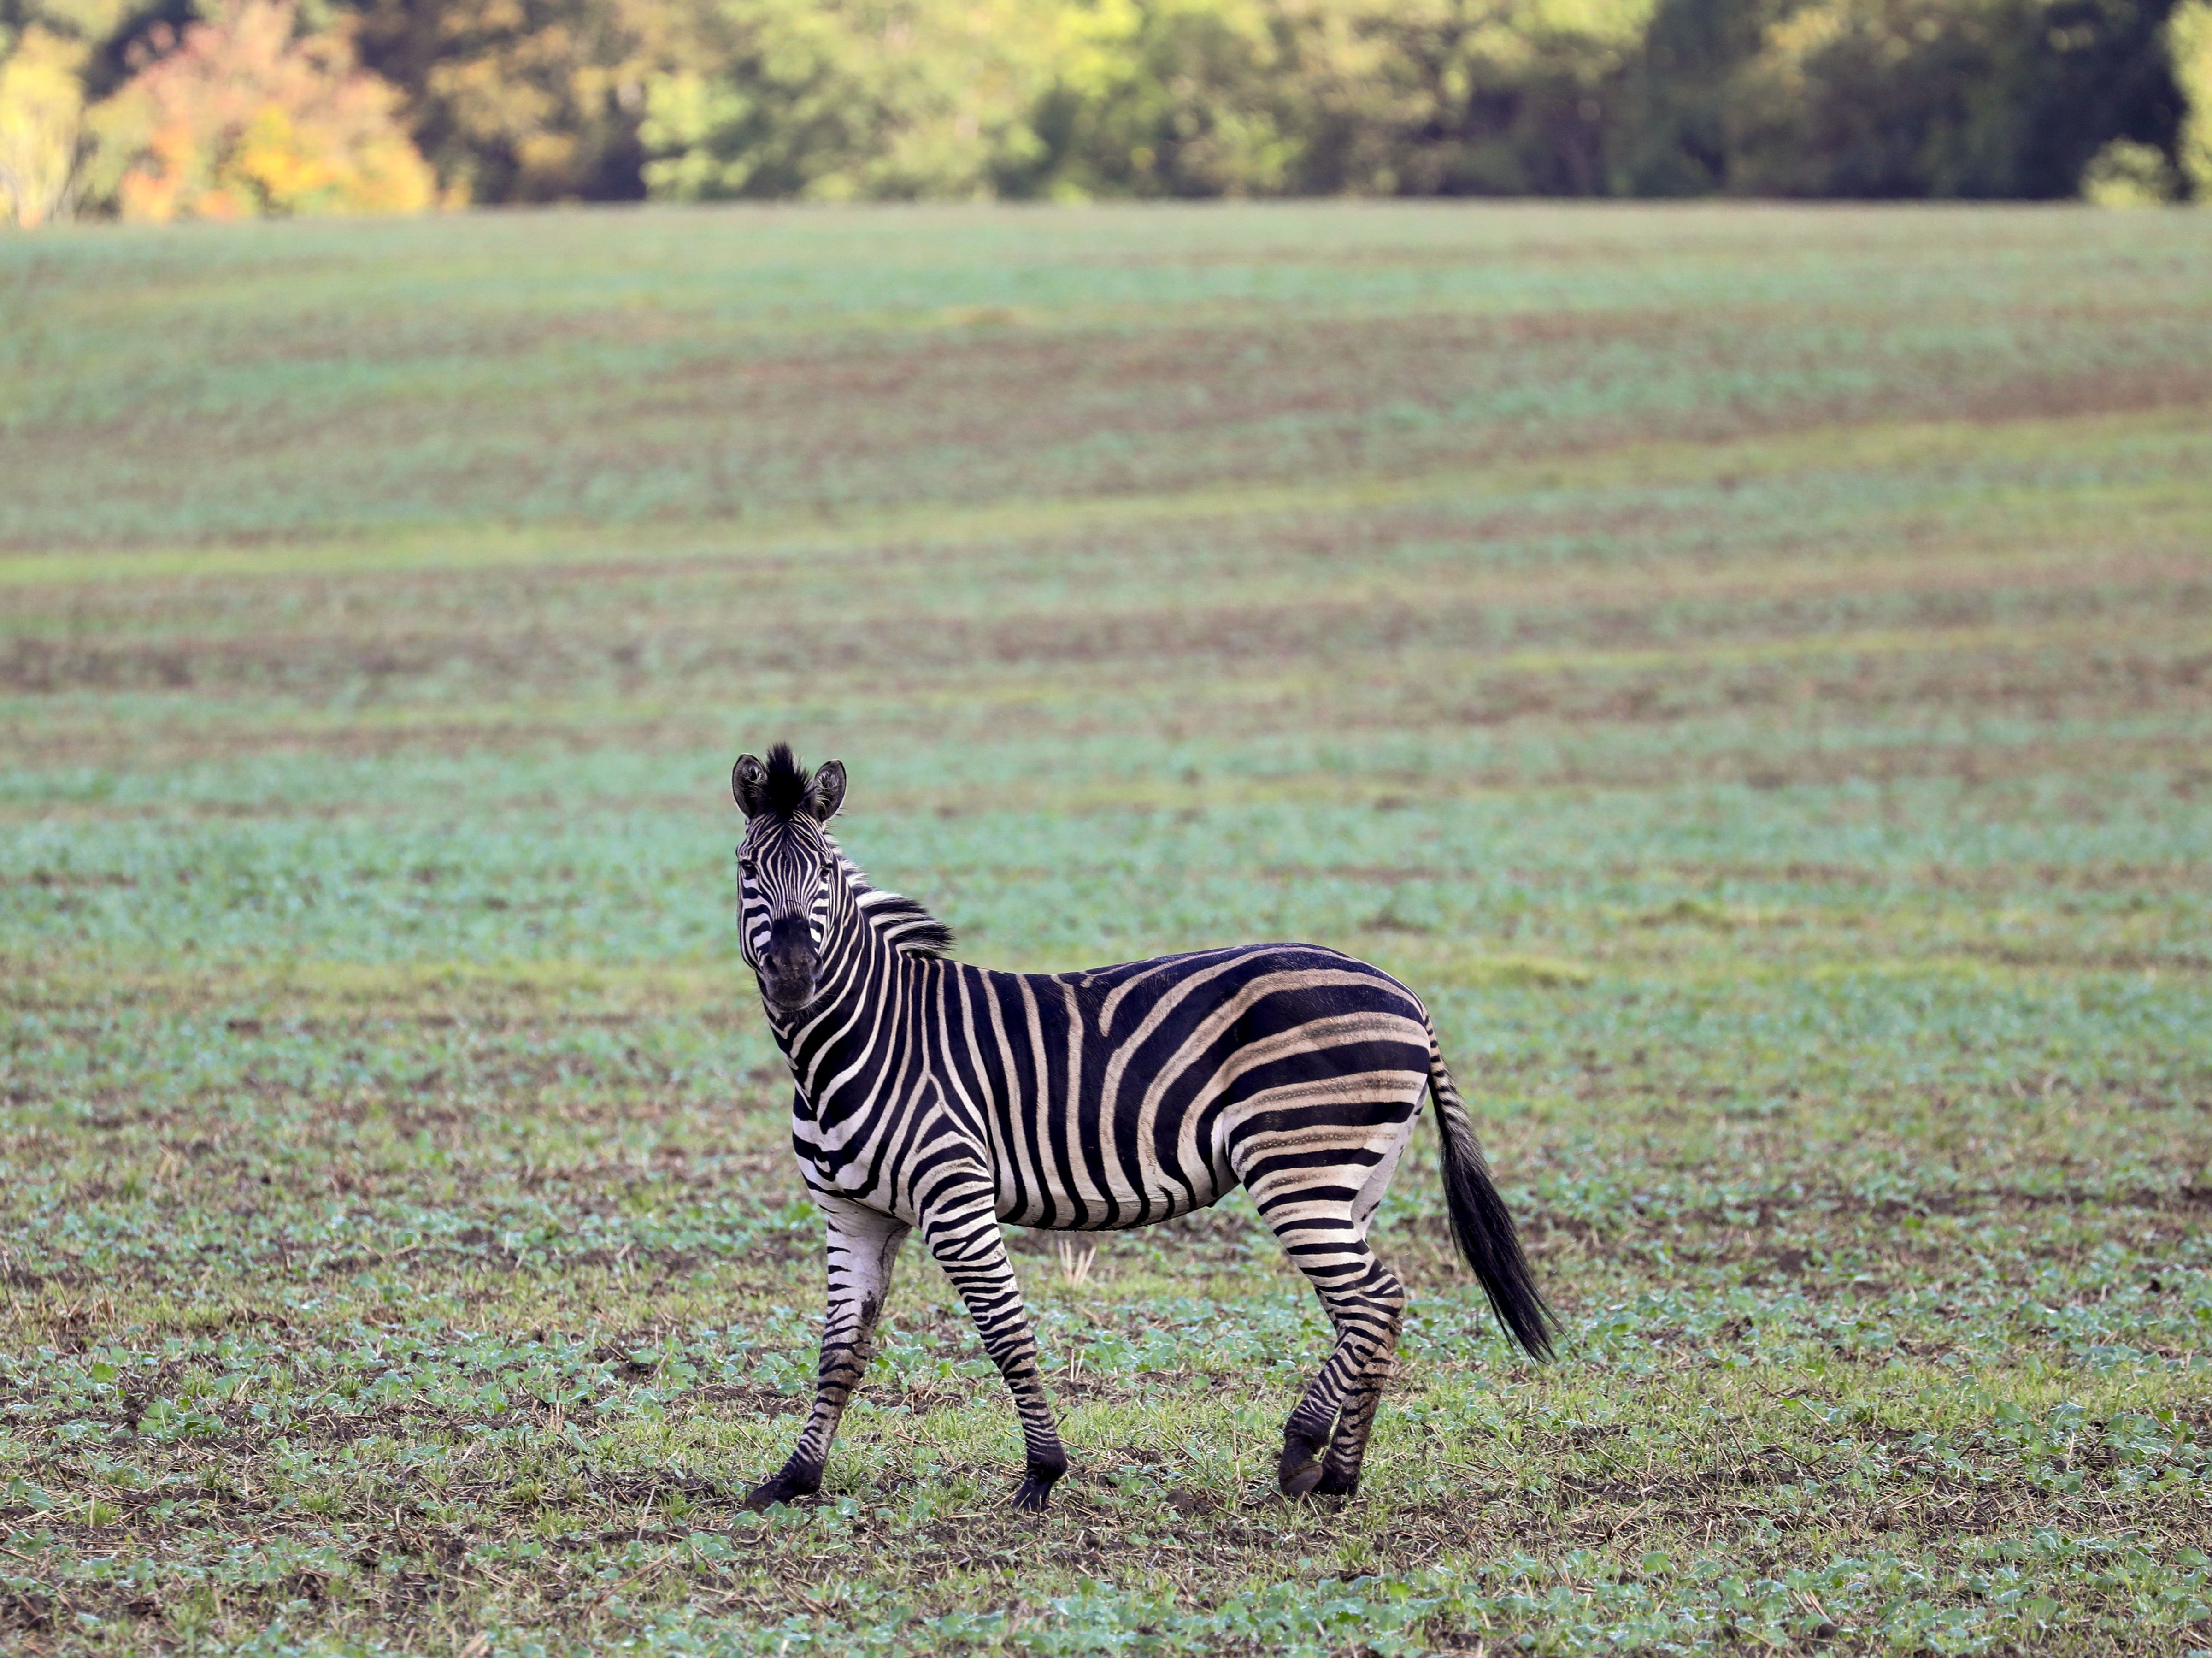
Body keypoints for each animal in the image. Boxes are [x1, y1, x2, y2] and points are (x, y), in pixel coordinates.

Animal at [732, 744, 1551, 1513]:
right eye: (746, 868)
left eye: (825, 872)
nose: (796, 977)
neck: (857, 1040)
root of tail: (1405, 993)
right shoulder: (855, 1215)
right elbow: (840, 1351)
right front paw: (795, 1478)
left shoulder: (955, 1196)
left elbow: (1006, 1331)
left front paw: (1043, 1472)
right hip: (1353, 1180)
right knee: (1364, 1310)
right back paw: (1329, 1469)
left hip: (1301, 1168)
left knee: (1375, 1301)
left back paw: (1315, 1459)